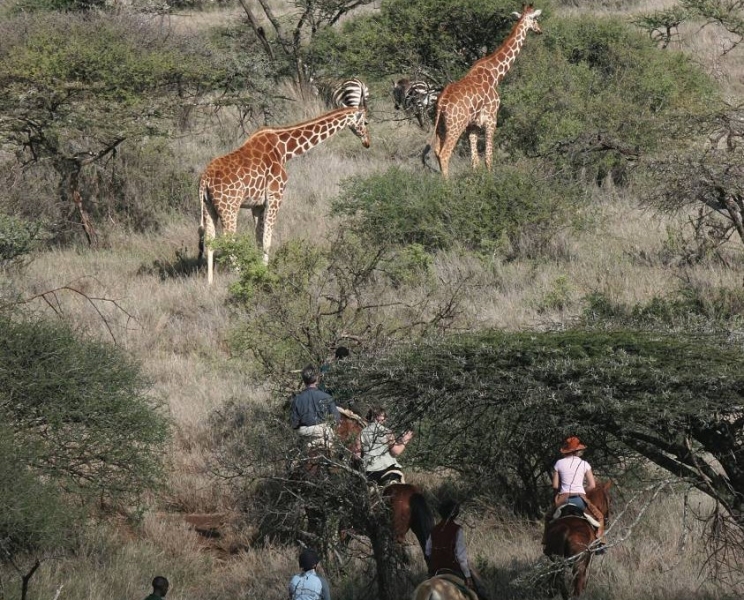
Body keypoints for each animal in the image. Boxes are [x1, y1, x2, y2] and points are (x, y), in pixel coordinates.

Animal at [199, 106, 370, 284]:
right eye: (366, 122)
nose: (367, 142)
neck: (284, 149)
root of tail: (205, 179)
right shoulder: (276, 195)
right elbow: (267, 240)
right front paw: (263, 274)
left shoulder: (257, 205)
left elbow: (259, 239)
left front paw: (258, 269)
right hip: (229, 207)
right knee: (228, 241)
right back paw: (238, 276)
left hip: (208, 207)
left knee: (210, 241)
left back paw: (210, 283)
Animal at [430, 4, 540, 178]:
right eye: (535, 19)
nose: (539, 30)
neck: (495, 74)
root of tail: (441, 104)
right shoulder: (491, 119)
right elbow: (488, 158)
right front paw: (490, 182)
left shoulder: (473, 126)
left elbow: (475, 161)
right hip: (455, 126)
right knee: (444, 154)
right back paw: (447, 185)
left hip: (440, 126)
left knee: (436, 151)